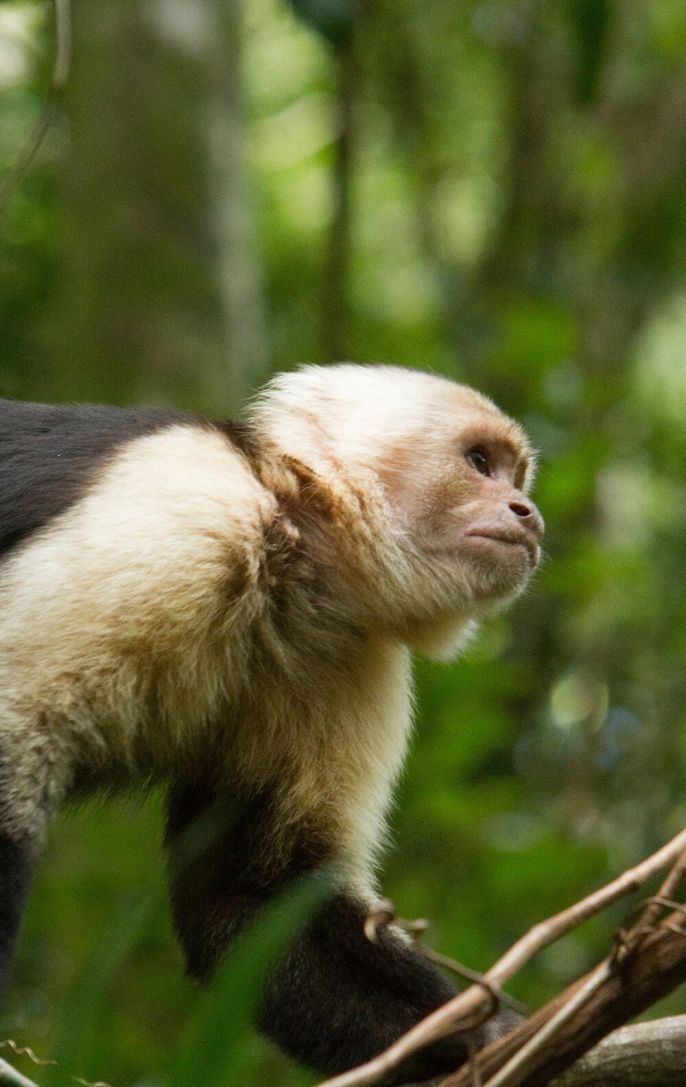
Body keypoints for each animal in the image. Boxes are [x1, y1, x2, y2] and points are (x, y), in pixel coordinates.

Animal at [0, 364, 543, 1082]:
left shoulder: (343, 650)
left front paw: (491, 1034)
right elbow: (12, 740)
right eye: (480, 463)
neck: (287, 544)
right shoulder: (182, 517)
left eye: (518, 477)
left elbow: (253, 898)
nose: (530, 514)